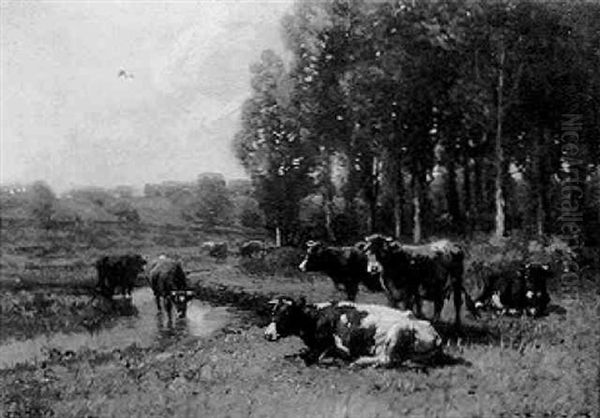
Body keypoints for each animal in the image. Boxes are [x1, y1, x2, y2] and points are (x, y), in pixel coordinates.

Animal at [264, 296, 442, 368]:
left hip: (396, 332)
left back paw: (359, 361)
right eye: (273, 312)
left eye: (287, 313)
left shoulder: (327, 346)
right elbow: (298, 354)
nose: (267, 334)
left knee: (387, 360)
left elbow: (309, 357)